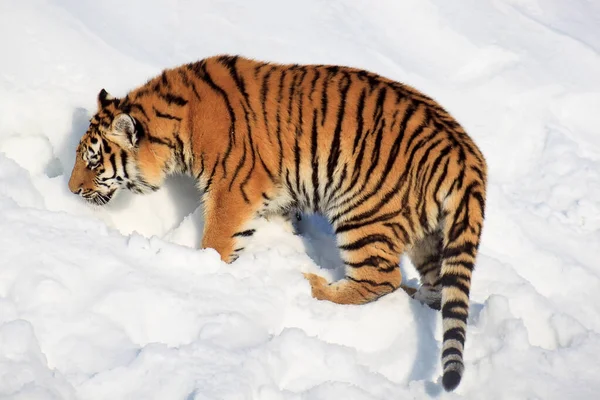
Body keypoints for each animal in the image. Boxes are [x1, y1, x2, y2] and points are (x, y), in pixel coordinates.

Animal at [68, 54, 488, 390]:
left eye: (93, 162)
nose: (71, 189)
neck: (177, 124)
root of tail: (467, 157)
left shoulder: (233, 187)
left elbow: (217, 240)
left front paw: (205, 272)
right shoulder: (276, 193)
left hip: (363, 213)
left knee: (380, 277)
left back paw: (314, 287)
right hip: (429, 237)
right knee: (436, 288)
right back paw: (414, 299)